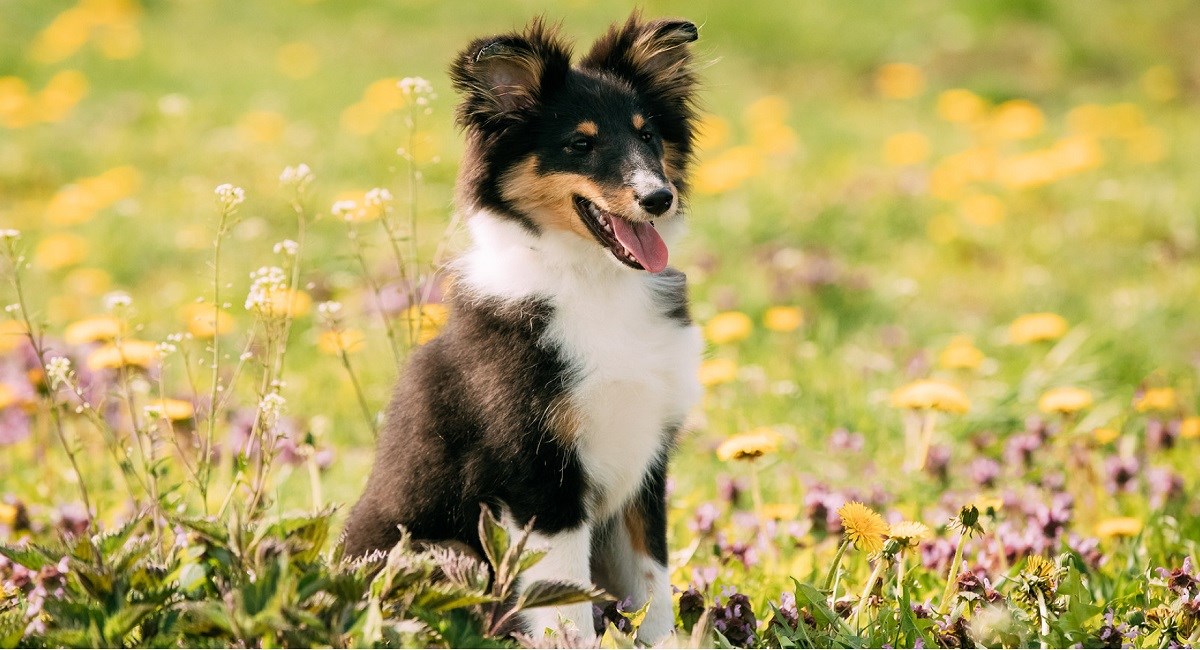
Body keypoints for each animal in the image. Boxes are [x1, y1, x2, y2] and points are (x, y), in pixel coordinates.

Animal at [343, 14, 700, 647]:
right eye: (580, 143)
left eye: (650, 136)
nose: (660, 197)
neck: (592, 281)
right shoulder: (538, 475)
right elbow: (565, 603)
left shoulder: (645, 468)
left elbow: (652, 590)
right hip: (443, 552)